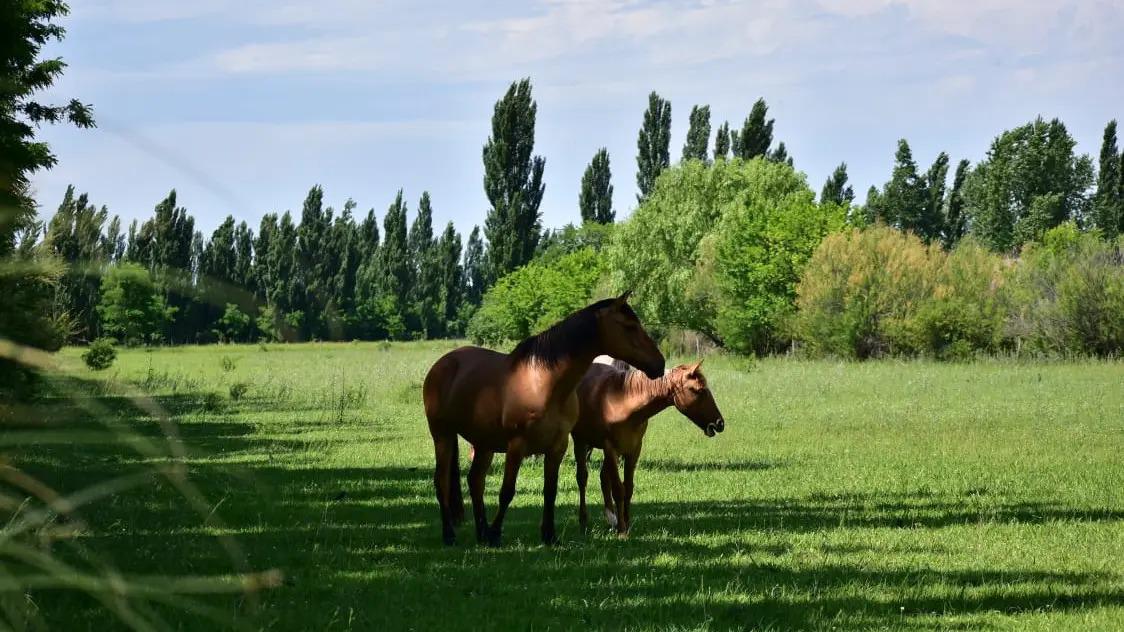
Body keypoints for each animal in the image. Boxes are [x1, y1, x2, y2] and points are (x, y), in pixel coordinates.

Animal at [422, 292, 665, 544]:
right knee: (442, 482)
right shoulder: (516, 446)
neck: (545, 383)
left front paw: (549, 535)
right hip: (443, 435)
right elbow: (507, 491)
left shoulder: (557, 447)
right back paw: (451, 534)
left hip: (483, 444)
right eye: (629, 326)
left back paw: (481, 533)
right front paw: (497, 533)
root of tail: (442, 364)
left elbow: (550, 490)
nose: (660, 363)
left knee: (475, 481)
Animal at [575, 359, 723, 530]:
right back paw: (584, 521)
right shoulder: (611, 448)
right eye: (698, 390)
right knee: (582, 478)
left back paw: (611, 518)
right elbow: (618, 489)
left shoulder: (633, 450)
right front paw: (622, 529)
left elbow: (628, 487)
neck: (622, 401)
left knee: (604, 477)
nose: (720, 423)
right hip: (581, 442)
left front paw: (626, 522)